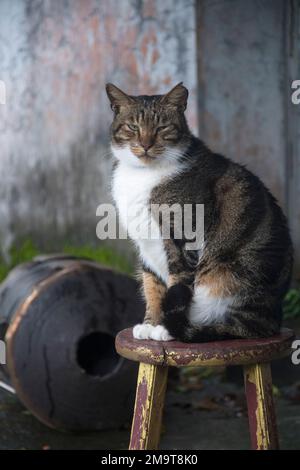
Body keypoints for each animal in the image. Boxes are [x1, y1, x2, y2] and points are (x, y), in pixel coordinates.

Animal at [106, 81, 292, 342]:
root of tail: (275, 317)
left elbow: (177, 280)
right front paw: (151, 323)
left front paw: (164, 329)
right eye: (133, 127)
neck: (143, 174)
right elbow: (152, 283)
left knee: (237, 327)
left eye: (162, 127)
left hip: (234, 277)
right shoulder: (145, 242)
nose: (145, 145)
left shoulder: (184, 237)